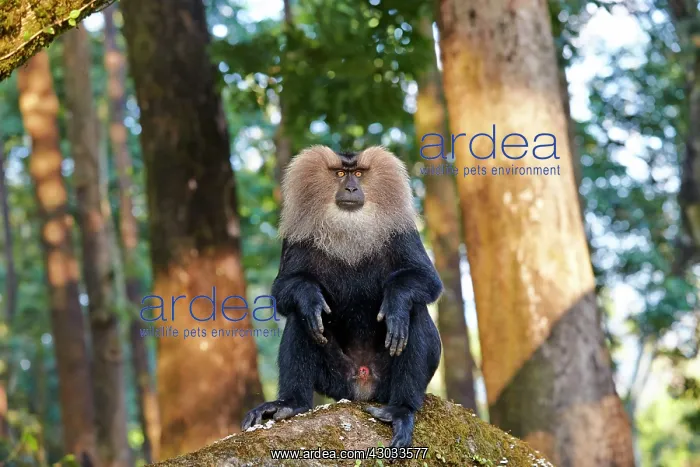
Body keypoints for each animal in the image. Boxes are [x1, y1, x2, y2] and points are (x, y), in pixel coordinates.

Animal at [241, 145, 443, 448]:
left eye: (358, 174)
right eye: (339, 174)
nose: (350, 188)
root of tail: (361, 387)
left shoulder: (402, 231)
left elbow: (427, 281)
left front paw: (395, 303)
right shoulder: (296, 236)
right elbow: (286, 291)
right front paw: (309, 296)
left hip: (385, 383)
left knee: (413, 310)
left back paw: (400, 409)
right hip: (337, 379)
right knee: (303, 318)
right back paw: (290, 404)